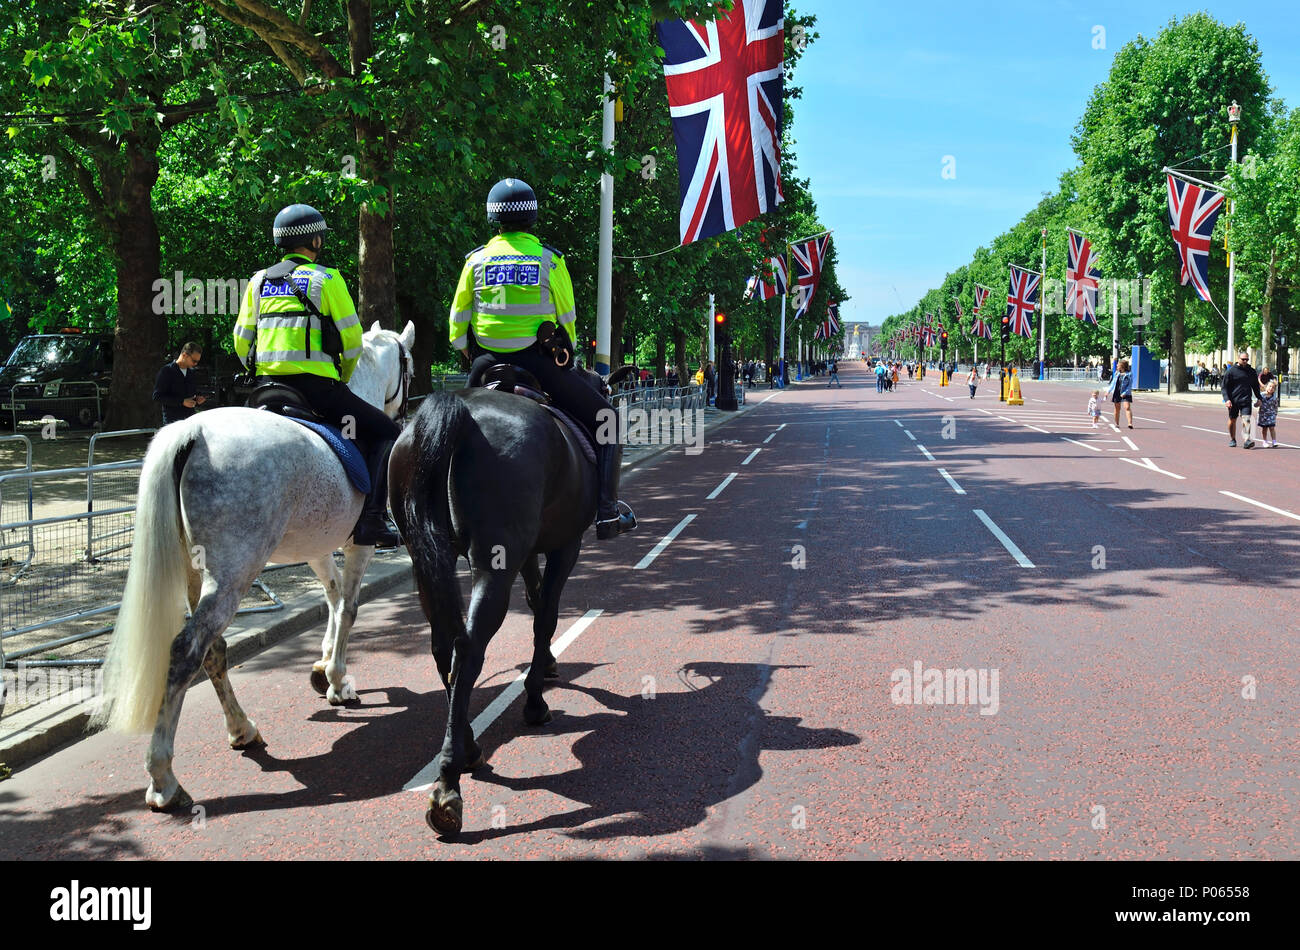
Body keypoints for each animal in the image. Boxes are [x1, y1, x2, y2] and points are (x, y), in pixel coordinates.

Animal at [387, 363, 631, 831]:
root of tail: (459, 409)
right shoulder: (565, 545)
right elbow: (546, 615)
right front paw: (535, 700)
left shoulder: (528, 551)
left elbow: (536, 601)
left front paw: (549, 666)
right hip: (493, 562)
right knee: (469, 647)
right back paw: (448, 787)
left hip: (423, 555)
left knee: (444, 645)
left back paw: (466, 747)